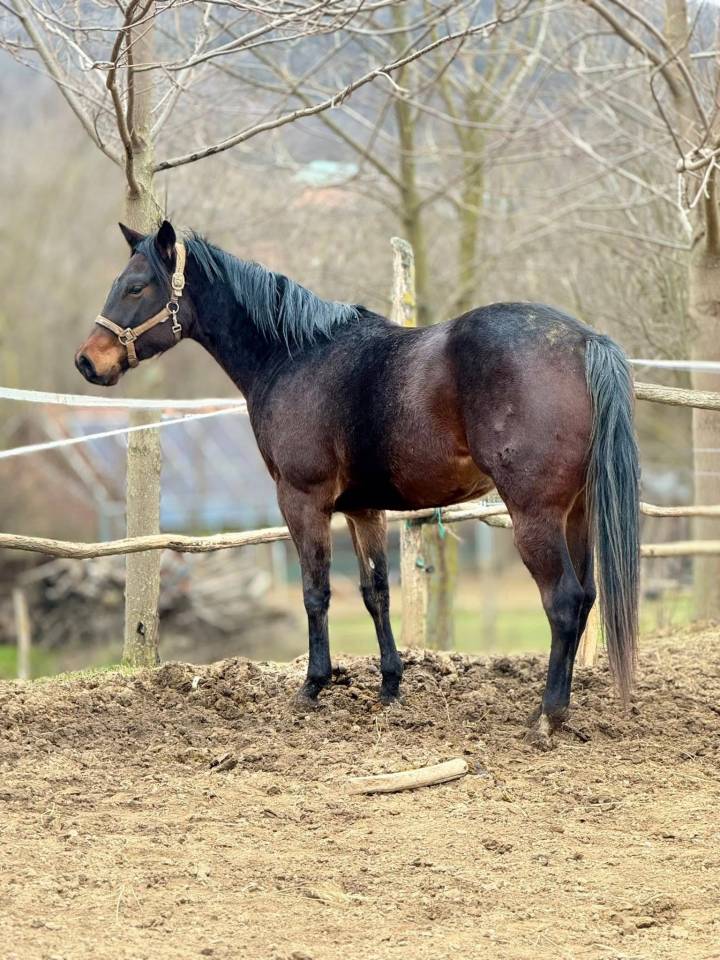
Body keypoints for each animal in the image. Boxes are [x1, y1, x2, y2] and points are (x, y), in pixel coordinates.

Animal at [75, 220, 640, 742]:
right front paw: (390, 686)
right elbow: (376, 592)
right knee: (585, 598)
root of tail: (584, 341)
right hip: (577, 513)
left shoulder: (302, 501)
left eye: (136, 287)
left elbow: (315, 591)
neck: (294, 356)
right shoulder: (363, 510)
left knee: (563, 601)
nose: (87, 361)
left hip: (534, 516)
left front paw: (313, 685)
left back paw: (547, 715)